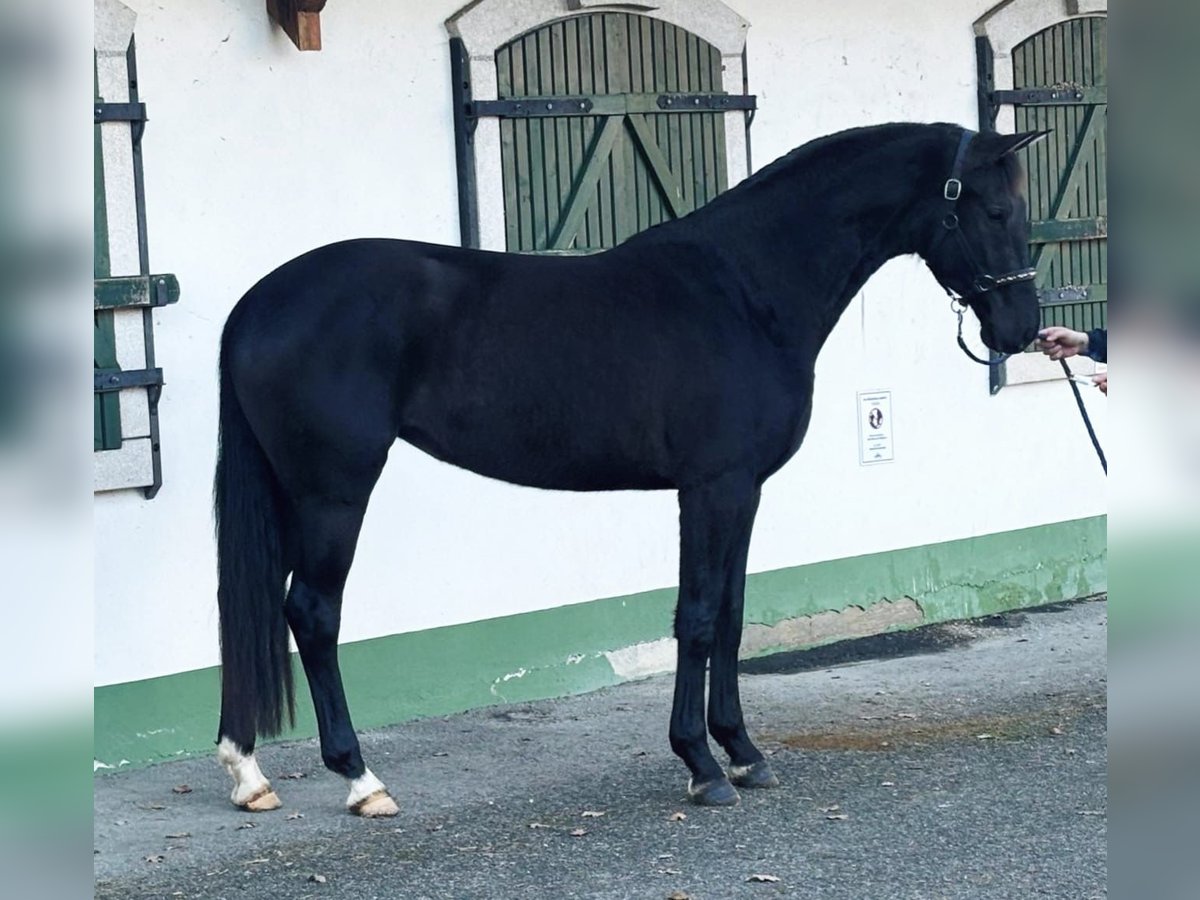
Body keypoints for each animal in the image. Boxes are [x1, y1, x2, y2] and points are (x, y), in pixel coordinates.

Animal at [213, 121, 1041, 816]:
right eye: (997, 211)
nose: (1022, 328)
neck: (745, 291)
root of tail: (254, 305)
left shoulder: (744, 491)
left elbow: (732, 615)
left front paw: (743, 752)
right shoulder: (713, 488)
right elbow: (698, 618)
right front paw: (701, 765)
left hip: (289, 493)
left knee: (248, 610)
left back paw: (248, 772)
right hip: (333, 492)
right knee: (312, 613)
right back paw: (361, 779)